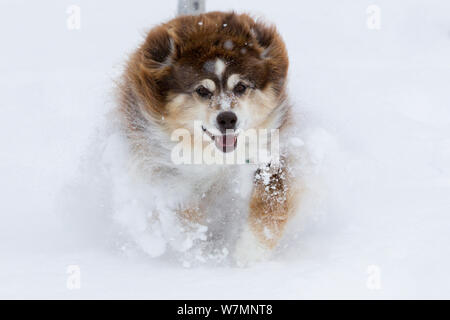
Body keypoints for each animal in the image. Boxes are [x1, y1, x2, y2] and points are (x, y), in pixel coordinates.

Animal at [114, 11, 300, 264]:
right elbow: (182, 212)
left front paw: (249, 252)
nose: (227, 119)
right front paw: (199, 249)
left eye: (241, 86)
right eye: (202, 90)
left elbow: (271, 201)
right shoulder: (162, 166)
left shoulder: (271, 153)